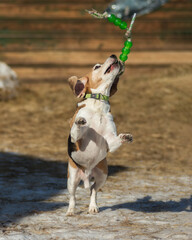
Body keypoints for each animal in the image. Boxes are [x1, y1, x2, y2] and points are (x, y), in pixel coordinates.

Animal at [66, 54, 132, 216]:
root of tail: (87, 174)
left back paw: (93, 206)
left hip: (102, 175)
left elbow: (115, 140)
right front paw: (80, 121)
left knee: (93, 190)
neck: (98, 106)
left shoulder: (109, 141)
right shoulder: (76, 139)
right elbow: (77, 129)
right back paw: (70, 210)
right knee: (72, 196)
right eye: (97, 66)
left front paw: (125, 137)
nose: (113, 55)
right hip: (72, 179)